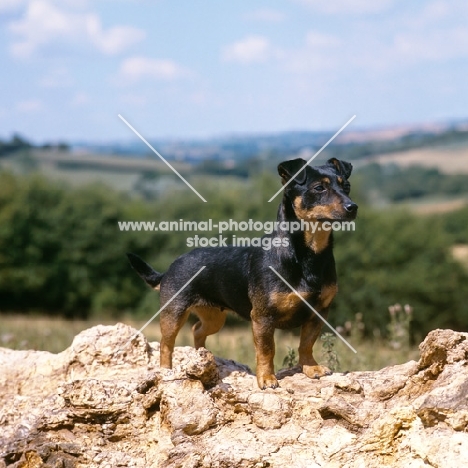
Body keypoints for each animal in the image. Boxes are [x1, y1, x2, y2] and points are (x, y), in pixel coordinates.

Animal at [126, 156, 356, 388]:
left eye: (346, 187)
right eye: (319, 188)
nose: (352, 206)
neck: (309, 252)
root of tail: (171, 267)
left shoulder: (318, 312)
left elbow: (306, 343)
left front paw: (310, 368)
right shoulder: (263, 317)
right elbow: (266, 350)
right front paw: (267, 378)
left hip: (214, 317)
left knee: (197, 329)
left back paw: (203, 358)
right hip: (174, 313)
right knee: (167, 343)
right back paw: (166, 371)